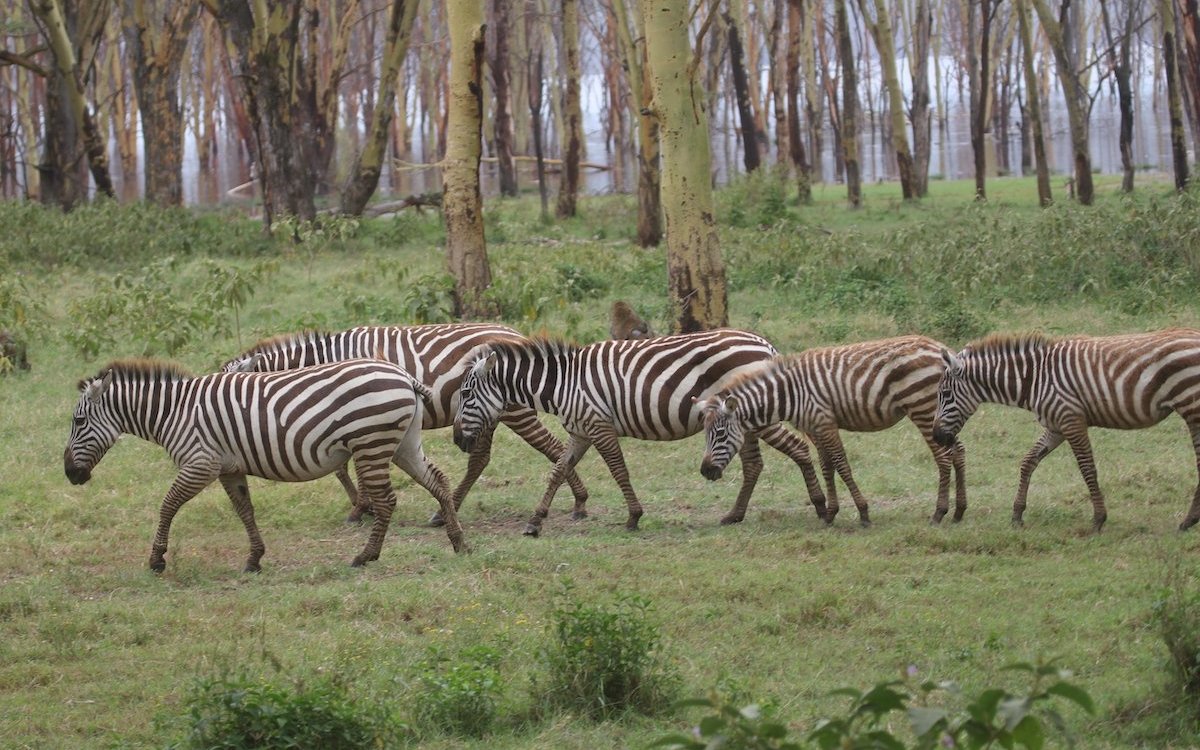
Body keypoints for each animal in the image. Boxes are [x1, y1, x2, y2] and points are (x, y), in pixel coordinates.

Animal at [60, 357, 465, 573]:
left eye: (78, 422)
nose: (70, 474)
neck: (174, 411)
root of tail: (403, 375)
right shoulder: (230, 468)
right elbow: (245, 511)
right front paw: (254, 558)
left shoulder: (200, 463)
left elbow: (167, 506)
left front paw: (157, 559)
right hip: (402, 444)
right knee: (438, 480)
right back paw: (458, 542)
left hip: (371, 443)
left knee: (387, 501)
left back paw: (366, 556)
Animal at [222, 324, 590, 523]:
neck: (329, 359)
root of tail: (514, 333)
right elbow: (341, 468)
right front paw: (363, 507)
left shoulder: (351, 415)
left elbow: (348, 469)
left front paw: (362, 508)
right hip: (487, 415)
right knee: (480, 459)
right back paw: (446, 511)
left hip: (513, 411)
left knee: (552, 447)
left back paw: (579, 501)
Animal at [453, 326, 830, 532]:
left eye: (467, 394)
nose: (457, 440)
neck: (564, 384)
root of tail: (763, 344)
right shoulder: (581, 431)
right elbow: (557, 471)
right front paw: (535, 521)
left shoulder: (599, 426)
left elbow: (619, 471)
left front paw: (634, 517)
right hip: (743, 419)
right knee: (754, 464)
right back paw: (734, 516)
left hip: (757, 415)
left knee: (798, 449)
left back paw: (821, 507)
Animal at [696, 336, 964, 523]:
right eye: (705, 435)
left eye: (720, 435)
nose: (705, 471)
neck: (791, 394)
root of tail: (943, 350)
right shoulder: (815, 427)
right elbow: (827, 466)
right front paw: (831, 513)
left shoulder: (824, 422)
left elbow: (841, 464)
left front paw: (863, 512)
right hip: (940, 416)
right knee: (958, 452)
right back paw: (959, 511)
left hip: (924, 409)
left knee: (943, 457)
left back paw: (939, 513)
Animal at [931, 328, 1200, 532]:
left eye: (945, 394)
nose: (937, 437)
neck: (1034, 379)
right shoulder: (1056, 425)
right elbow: (1028, 461)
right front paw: (1017, 513)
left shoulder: (1071, 420)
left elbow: (1087, 468)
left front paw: (1098, 519)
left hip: (1192, 406)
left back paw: (1188, 521)